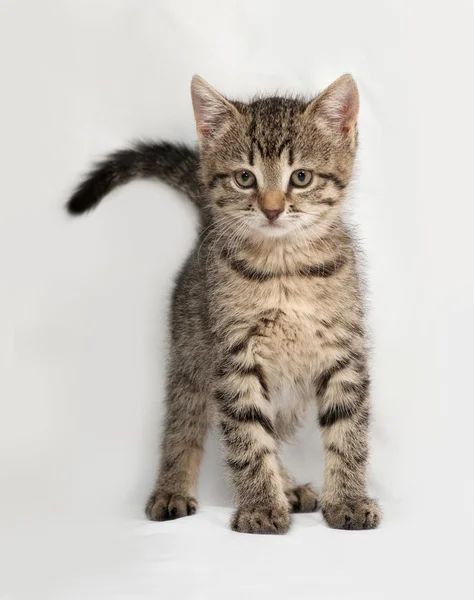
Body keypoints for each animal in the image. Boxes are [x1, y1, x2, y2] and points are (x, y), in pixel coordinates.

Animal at [67, 74, 382, 536]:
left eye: (301, 177)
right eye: (245, 178)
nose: (272, 209)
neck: (284, 268)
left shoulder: (342, 348)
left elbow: (348, 432)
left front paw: (349, 500)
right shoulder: (235, 356)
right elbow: (248, 438)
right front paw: (261, 508)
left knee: (273, 431)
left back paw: (288, 486)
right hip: (191, 356)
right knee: (184, 423)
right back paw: (173, 489)